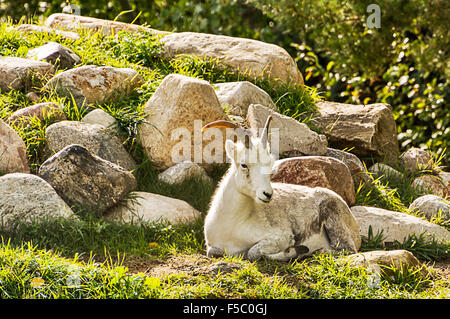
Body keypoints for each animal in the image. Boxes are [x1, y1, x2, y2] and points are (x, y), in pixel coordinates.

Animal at [204, 116, 362, 262]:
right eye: (244, 165)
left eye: (270, 164)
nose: (267, 194)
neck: (233, 226)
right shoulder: (213, 247)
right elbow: (213, 252)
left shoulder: (281, 237)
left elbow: (253, 252)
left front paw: (293, 250)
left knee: (345, 250)